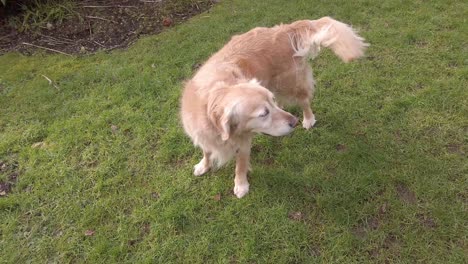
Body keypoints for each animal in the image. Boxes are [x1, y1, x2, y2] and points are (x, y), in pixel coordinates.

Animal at [181, 16, 368, 198]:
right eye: (263, 113)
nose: (294, 122)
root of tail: (284, 28)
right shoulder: (202, 135)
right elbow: (206, 151)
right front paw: (203, 165)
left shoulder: (244, 142)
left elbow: (240, 165)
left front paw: (241, 185)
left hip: (290, 84)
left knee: (304, 100)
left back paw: (308, 119)